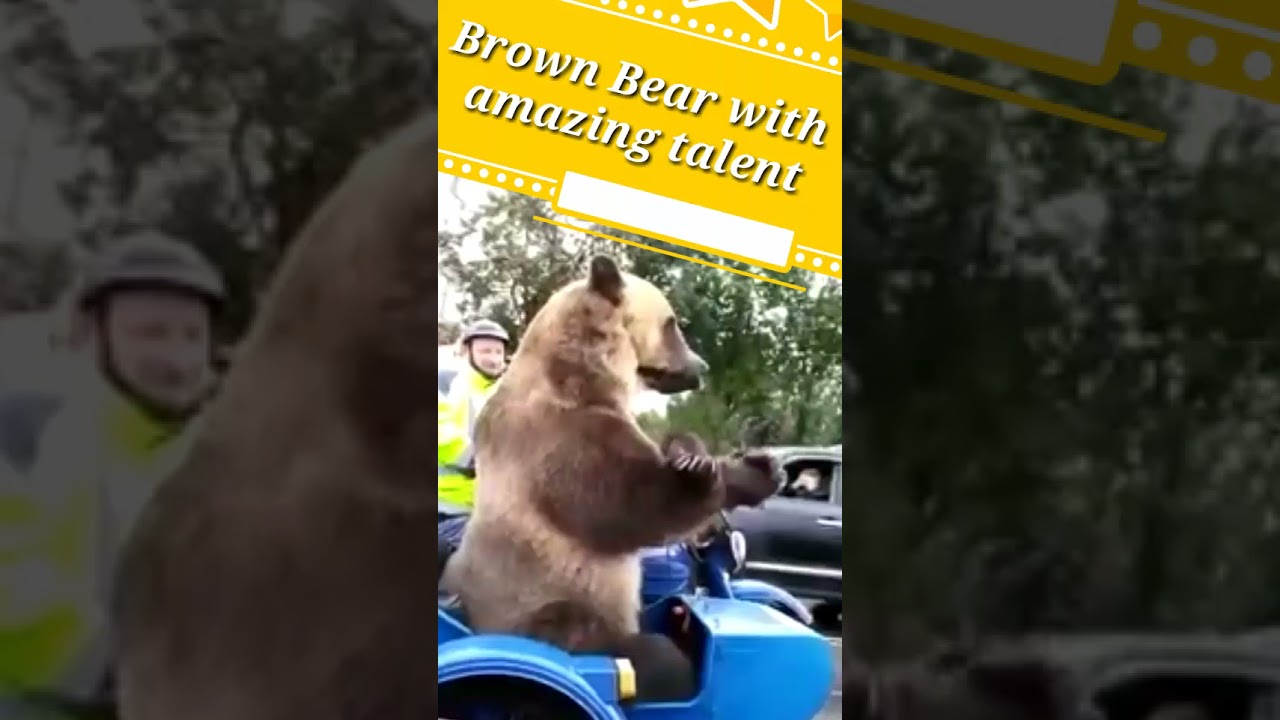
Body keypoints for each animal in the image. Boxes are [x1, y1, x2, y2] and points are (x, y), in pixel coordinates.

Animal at [439, 257, 778, 687]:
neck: (585, 372)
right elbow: (626, 504)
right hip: (542, 612)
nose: (700, 365)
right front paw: (701, 473)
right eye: (672, 323)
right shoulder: (559, 438)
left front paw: (748, 464)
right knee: (637, 652)